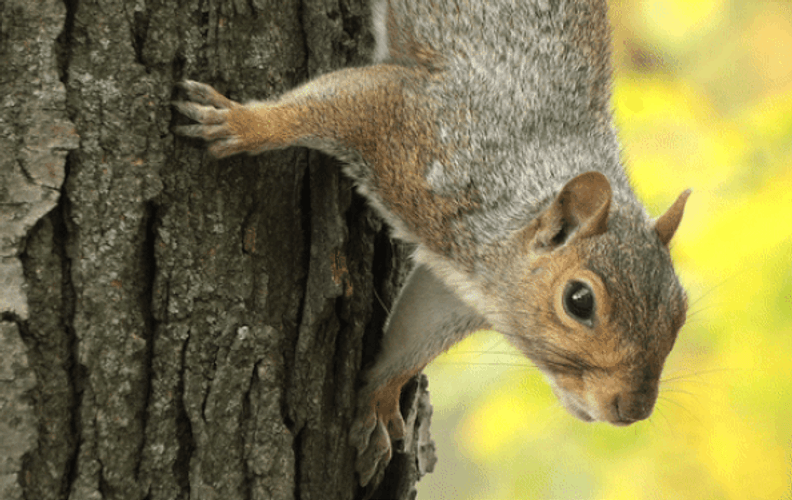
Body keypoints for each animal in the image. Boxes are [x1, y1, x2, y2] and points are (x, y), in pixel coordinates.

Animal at [173, 0, 691, 488]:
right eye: (579, 300)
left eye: (680, 312)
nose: (632, 409)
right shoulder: (415, 122)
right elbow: (336, 103)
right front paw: (244, 123)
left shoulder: (451, 292)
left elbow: (413, 334)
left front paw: (380, 396)